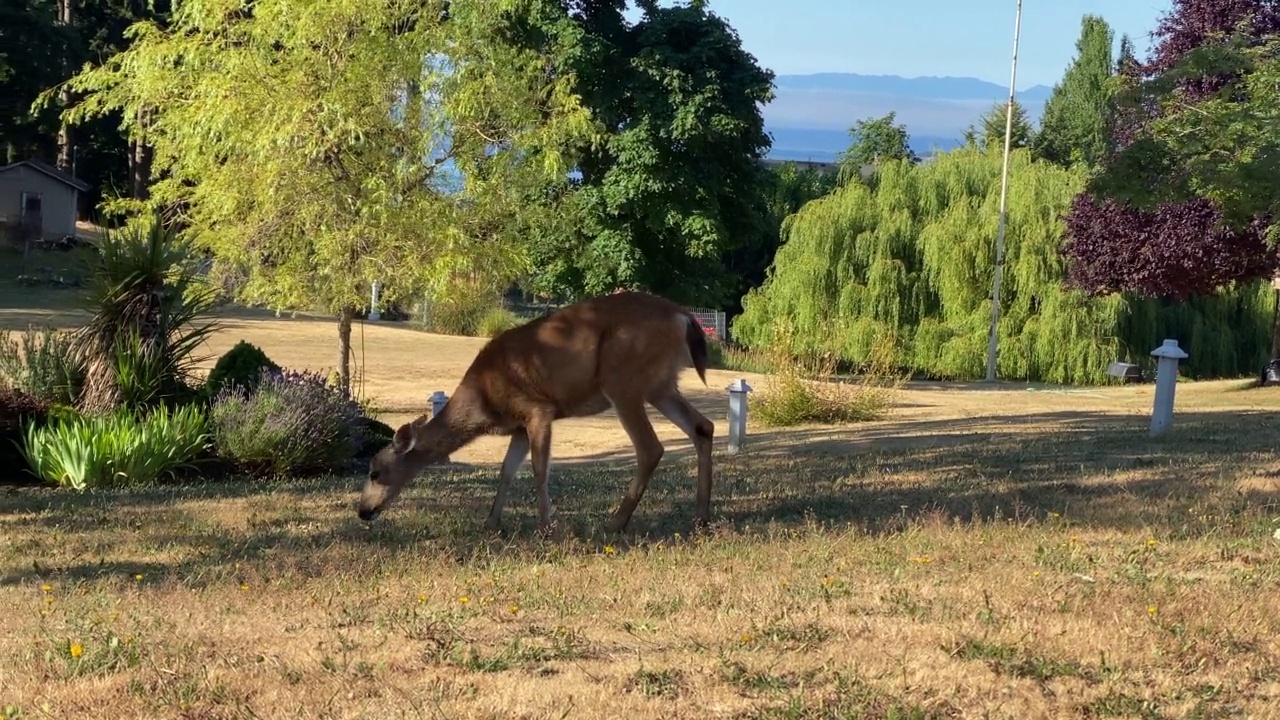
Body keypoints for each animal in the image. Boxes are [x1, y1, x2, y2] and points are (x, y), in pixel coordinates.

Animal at [355, 289, 716, 532]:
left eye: (374, 472)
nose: (362, 512)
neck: (484, 400)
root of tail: (684, 317)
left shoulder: (539, 408)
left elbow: (540, 469)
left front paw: (547, 526)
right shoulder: (518, 426)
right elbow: (507, 470)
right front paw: (492, 522)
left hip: (622, 378)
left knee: (650, 447)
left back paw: (615, 522)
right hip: (661, 384)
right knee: (703, 427)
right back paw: (700, 518)